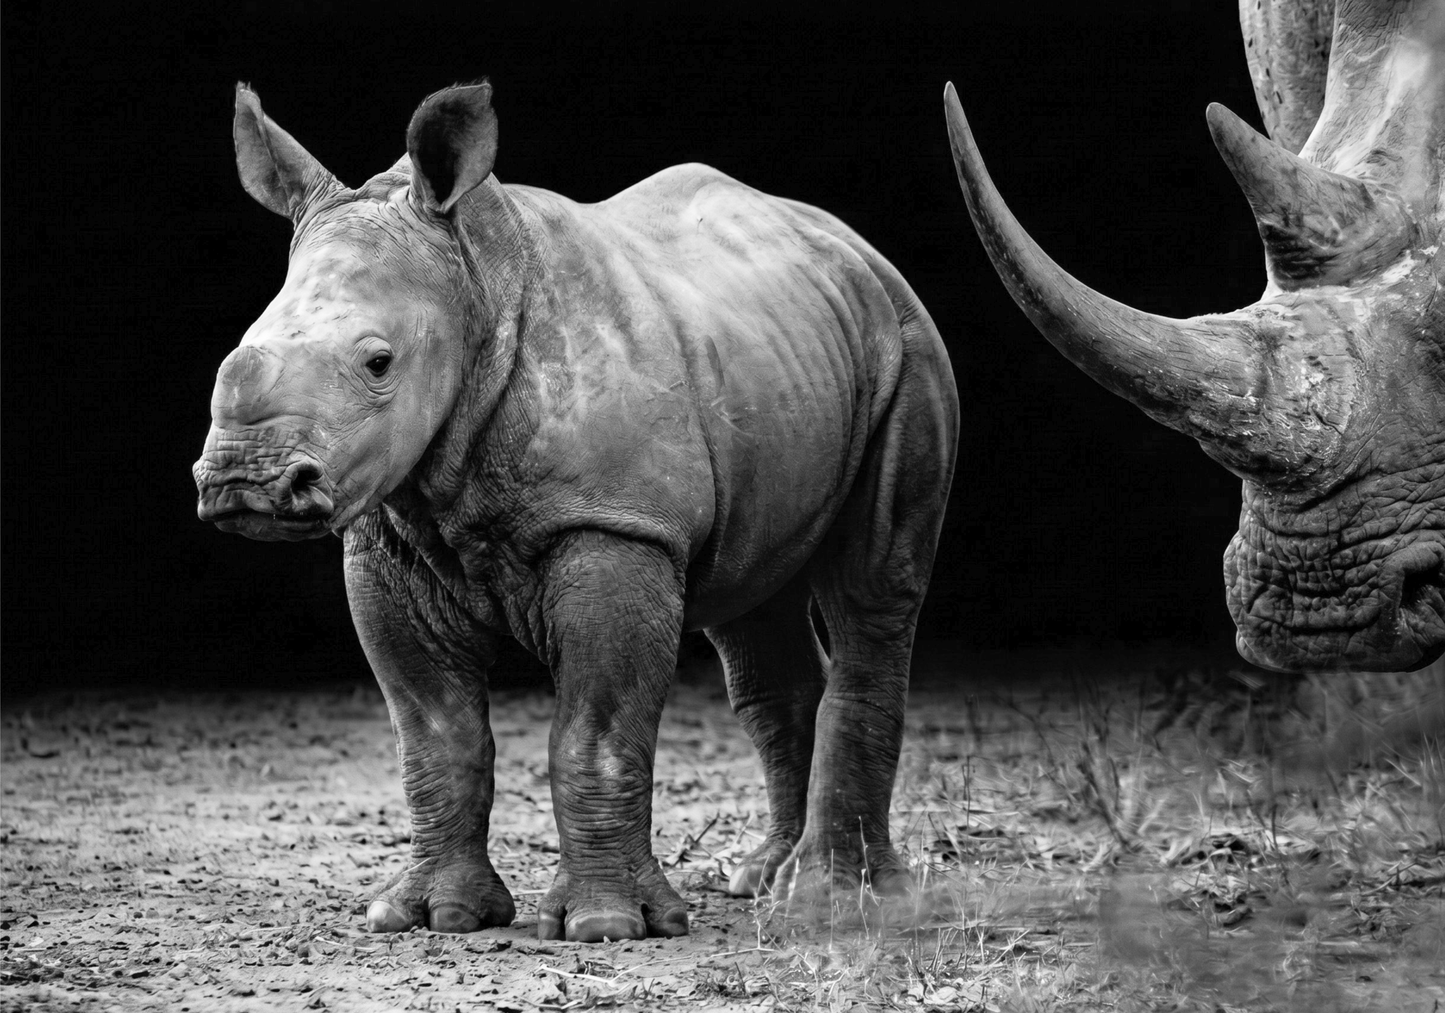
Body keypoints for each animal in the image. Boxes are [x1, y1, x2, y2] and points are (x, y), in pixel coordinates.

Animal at [193, 81, 959, 941]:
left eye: (378, 362)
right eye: (237, 349)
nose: (242, 481)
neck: (474, 286)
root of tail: (855, 247)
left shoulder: (615, 523)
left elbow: (595, 727)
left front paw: (606, 927)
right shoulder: (388, 542)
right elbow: (435, 733)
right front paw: (432, 914)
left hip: (907, 345)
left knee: (871, 589)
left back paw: (838, 900)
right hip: (777, 352)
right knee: (754, 605)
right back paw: (762, 878)